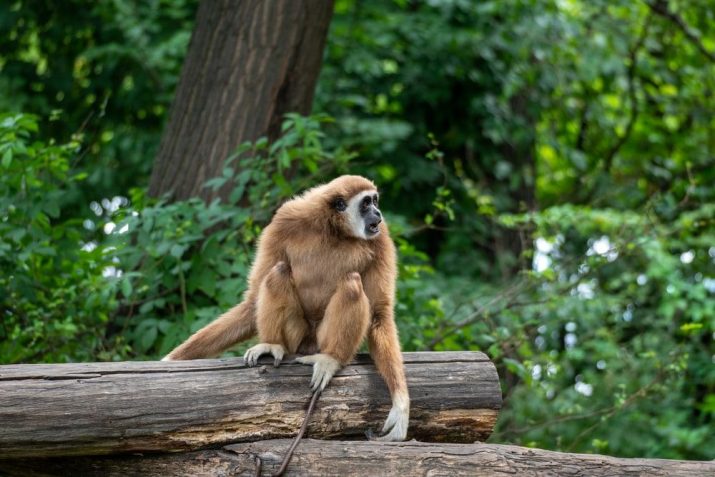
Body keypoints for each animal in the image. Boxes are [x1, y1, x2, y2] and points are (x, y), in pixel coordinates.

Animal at [162, 175, 410, 442]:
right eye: (366, 203)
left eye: (375, 200)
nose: (377, 212)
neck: (334, 230)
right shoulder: (284, 220)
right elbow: (252, 301)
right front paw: (170, 360)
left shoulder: (381, 237)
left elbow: (379, 313)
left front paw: (400, 404)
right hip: (296, 338)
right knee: (278, 272)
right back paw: (272, 345)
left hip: (320, 339)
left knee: (352, 283)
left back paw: (331, 359)